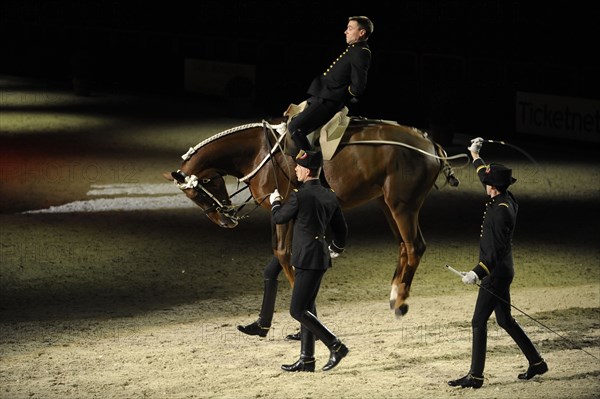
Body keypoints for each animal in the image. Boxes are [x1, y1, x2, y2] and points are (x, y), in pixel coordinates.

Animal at [166, 117, 462, 318]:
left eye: (198, 191)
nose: (226, 220)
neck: (261, 153)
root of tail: (430, 144)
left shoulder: (286, 210)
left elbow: (284, 253)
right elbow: (279, 255)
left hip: (403, 206)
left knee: (414, 247)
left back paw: (400, 301)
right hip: (387, 204)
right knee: (403, 246)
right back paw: (394, 294)